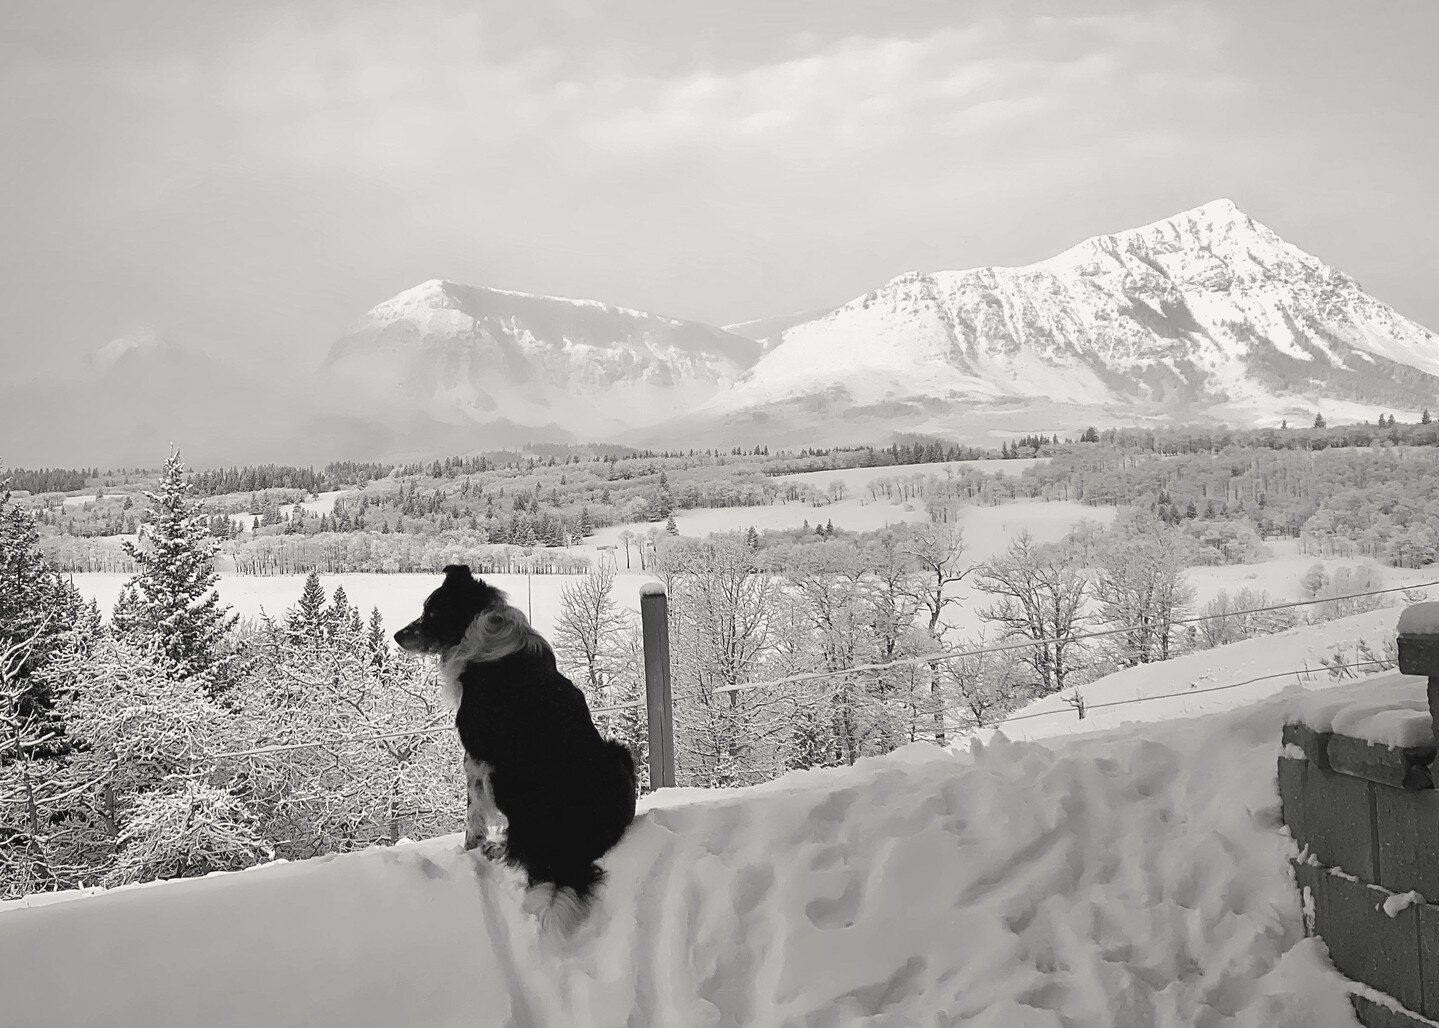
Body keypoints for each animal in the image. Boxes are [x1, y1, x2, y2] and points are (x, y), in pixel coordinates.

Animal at [397, 561, 638, 927]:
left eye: (432, 611)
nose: (397, 635)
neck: (477, 630)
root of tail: (573, 848)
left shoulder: (476, 754)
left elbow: (473, 811)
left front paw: (469, 849)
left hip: (507, 777)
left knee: (519, 846)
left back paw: (498, 849)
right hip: (618, 752)